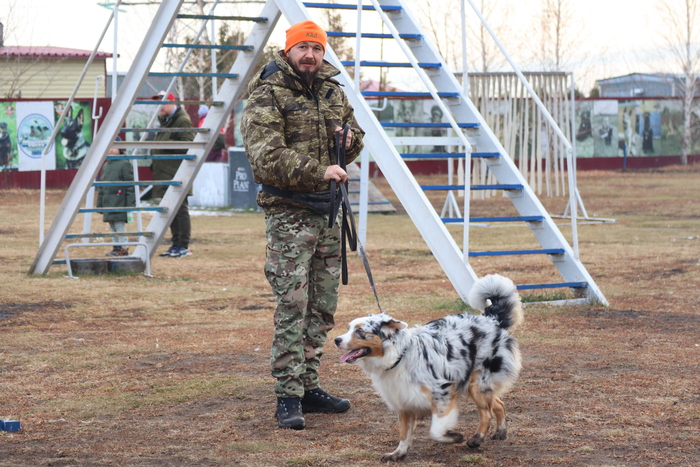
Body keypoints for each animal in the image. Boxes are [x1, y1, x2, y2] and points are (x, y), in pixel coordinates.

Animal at [334, 274, 523, 462]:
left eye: (360, 332)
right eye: (348, 329)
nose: (336, 340)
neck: (400, 356)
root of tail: (491, 318)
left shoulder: (442, 394)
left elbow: (436, 431)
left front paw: (454, 437)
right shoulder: (404, 400)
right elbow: (404, 433)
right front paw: (398, 453)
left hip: (478, 384)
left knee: (487, 412)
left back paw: (477, 439)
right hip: (475, 385)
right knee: (498, 404)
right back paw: (501, 432)